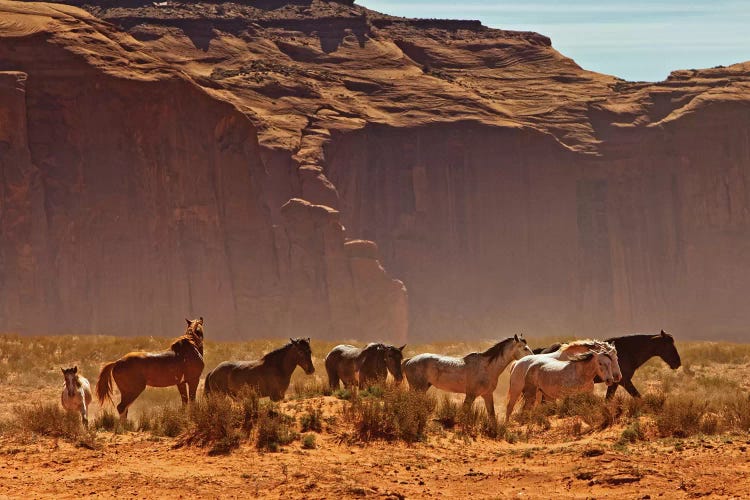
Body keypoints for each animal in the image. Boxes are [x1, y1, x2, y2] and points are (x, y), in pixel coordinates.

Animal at [406, 334, 536, 420]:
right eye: (525, 348)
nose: (533, 357)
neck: (487, 367)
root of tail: (408, 361)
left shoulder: (487, 395)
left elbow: (492, 416)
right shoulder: (471, 394)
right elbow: (464, 413)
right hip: (418, 388)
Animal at [536, 330, 680, 400]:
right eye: (668, 344)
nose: (677, 362)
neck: (627, 351)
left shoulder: (616, 382)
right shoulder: (623, 381)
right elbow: (637, 397)